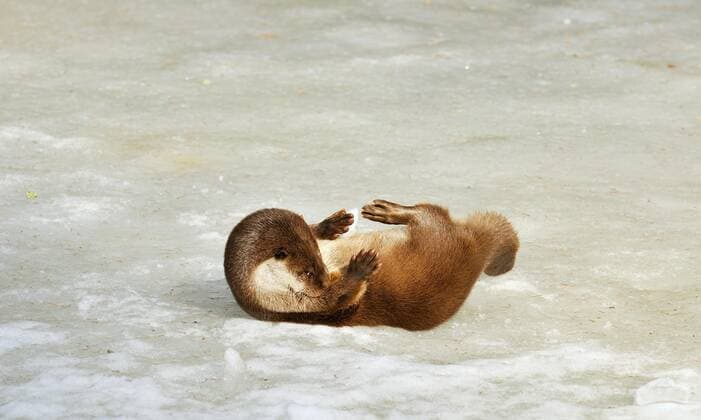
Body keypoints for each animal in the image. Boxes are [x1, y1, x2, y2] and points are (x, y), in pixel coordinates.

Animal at [224, 199, 519, 331]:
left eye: (318, 257)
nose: (324, 278)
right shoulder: (301, 303)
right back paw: (390, 211)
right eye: (306, 272)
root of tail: (476, 246)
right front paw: (361, 267)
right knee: (429, 212)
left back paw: (384, 211)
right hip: (436, 232)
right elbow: (340, 297)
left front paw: (331, 225)